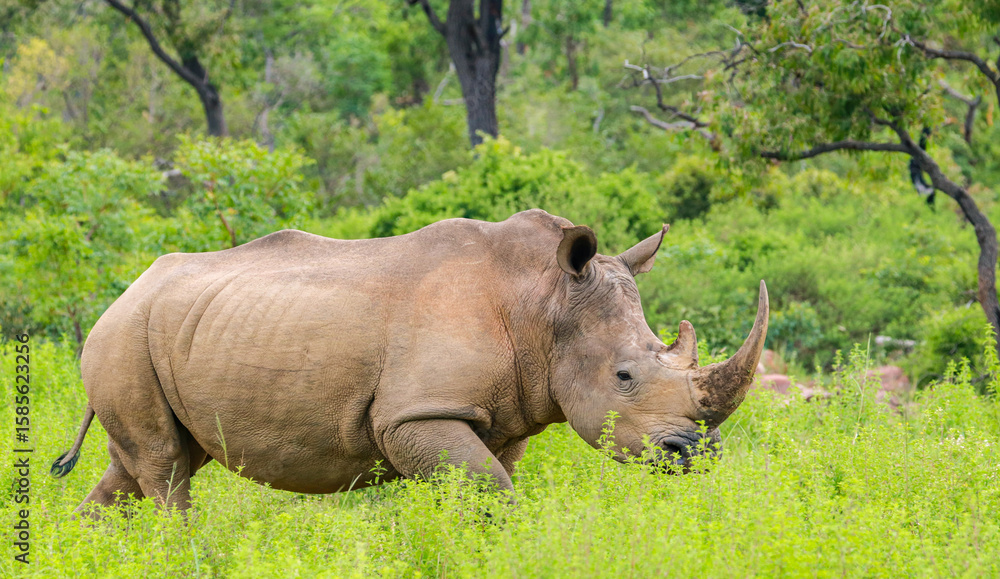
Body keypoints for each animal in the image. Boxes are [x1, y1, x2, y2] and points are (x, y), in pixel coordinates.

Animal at [52, 209, 768, 513]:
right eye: (624, 377)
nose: (695, 452)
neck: (543, 303)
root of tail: (123, 293)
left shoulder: (502, 414)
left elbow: (481, 487)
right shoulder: (415, 414)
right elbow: (493, 492)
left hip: (161, 333)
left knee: (146, 463)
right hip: (122, 337)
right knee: (165, 470)